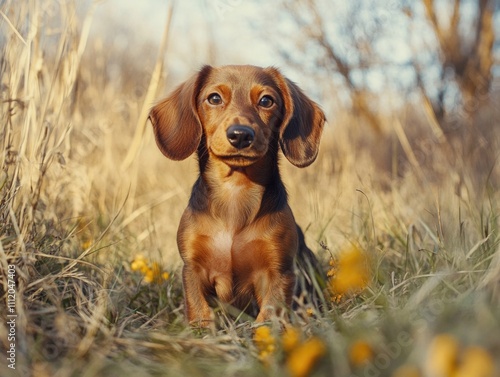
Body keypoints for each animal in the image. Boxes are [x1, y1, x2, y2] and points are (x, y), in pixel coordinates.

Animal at [149, 63, 324, 324]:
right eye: (214, 98)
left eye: (266, 101)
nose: (240, 134)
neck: (235, 191)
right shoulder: (193, 270)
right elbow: (199, 311)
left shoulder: (278, 272)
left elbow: (268, 317)